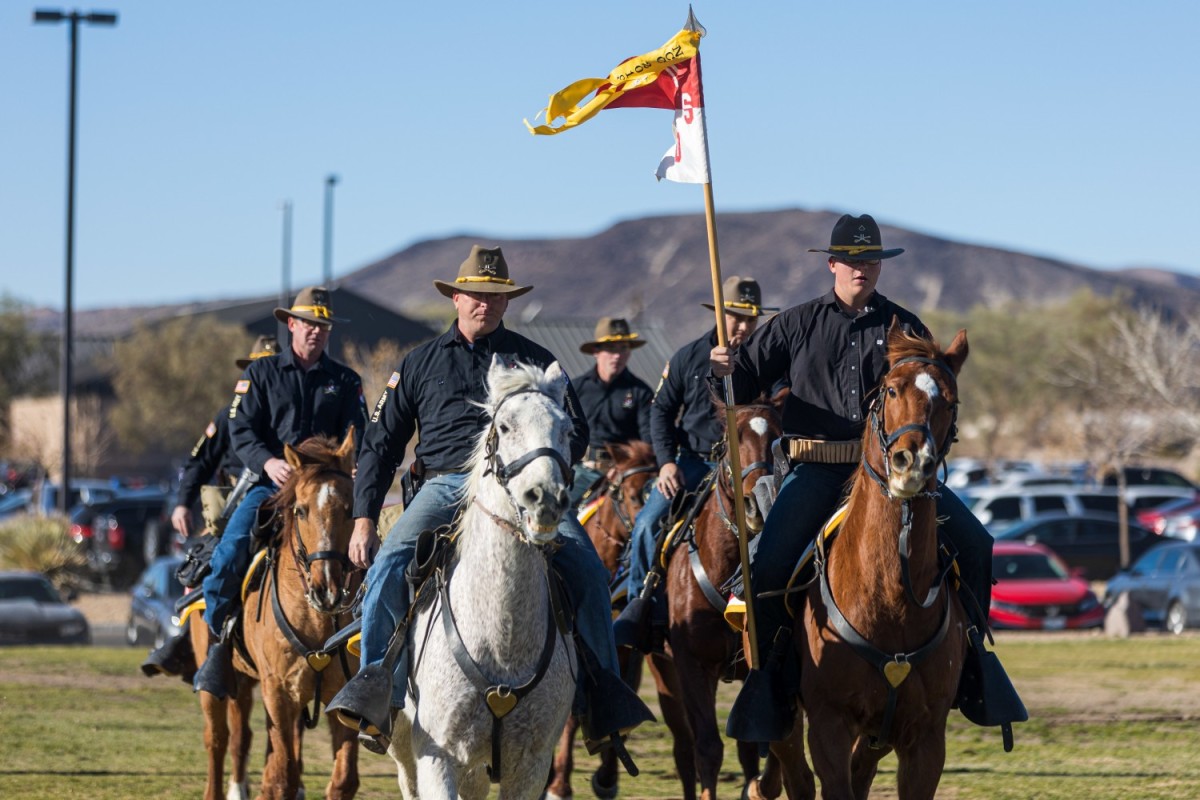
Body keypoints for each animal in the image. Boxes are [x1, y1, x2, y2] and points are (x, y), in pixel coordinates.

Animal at [187, 431, 360, 800]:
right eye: (301, 510)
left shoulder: (339, 695)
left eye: (351, 508)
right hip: (218, 678)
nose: (327, 588)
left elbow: (342, 780)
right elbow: (282, 776)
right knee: (218, 740)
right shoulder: (278, 691)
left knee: (246, 739)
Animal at [388, 357, 576, 800]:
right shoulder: (436, 756)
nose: (544, 498)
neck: (501, 640)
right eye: (504, 426)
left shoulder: (531, 766)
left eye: (567, 429)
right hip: (404, 748)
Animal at [667, 407, 816, 800]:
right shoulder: (690, 664)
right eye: (730, 440)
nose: (755, 506)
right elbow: (708, 747)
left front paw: (761, 786)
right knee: (683, 744)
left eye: (779, 437)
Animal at [796, 328, 974, 796]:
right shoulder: (828, 726)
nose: (912, 463)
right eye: (892, 390)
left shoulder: (925, 739)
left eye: (950, 400)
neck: (891, 600)